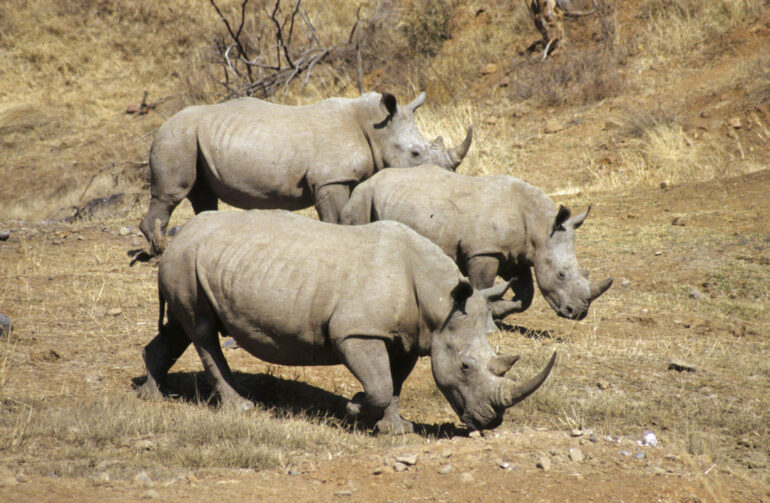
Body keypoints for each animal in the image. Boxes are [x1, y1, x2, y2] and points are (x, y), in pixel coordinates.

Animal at [138, 91, 473, 255]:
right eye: (415, 154)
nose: (442, 178)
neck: (376, 127)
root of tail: (162, 123)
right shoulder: (330, 178)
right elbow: (335, 217)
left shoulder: (349, 178)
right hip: (176, 136)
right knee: (172, 194)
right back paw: (158, 250)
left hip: (192, 137)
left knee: (202, 195)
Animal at [138, 210, 555, 433]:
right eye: (466, 366)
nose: (491, 421)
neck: (441, 304)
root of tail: (181, 233)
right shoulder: (356, 332)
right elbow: (379, 384)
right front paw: (354, 409)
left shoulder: (406, 336)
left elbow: (393, 383)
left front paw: (394, 429)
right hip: (187, 258)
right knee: (202, 330)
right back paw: (241, 408)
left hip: (195, 260)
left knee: (181, 327)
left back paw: (152, 395)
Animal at [340, 166, 612, 320]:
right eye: (561, 274)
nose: (578, 313)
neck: (541, 227)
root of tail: (367, 181)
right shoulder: (484, 252)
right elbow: (483, 285)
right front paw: (489, 313)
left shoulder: (516, 255)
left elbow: (526, 296)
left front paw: (499, 311)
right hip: (362, 198)